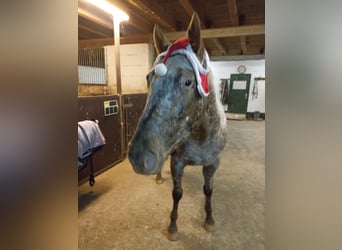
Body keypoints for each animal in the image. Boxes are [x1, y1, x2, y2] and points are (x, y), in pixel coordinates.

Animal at [128, 12, 227, 241]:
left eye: (188, 82)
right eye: (148, 78)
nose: (138, 157)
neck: (200, 137)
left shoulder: (213, 163)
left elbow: (208, 190)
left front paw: (209, 220)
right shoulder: (177, 161)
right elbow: (177, 193)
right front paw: (172, 227)